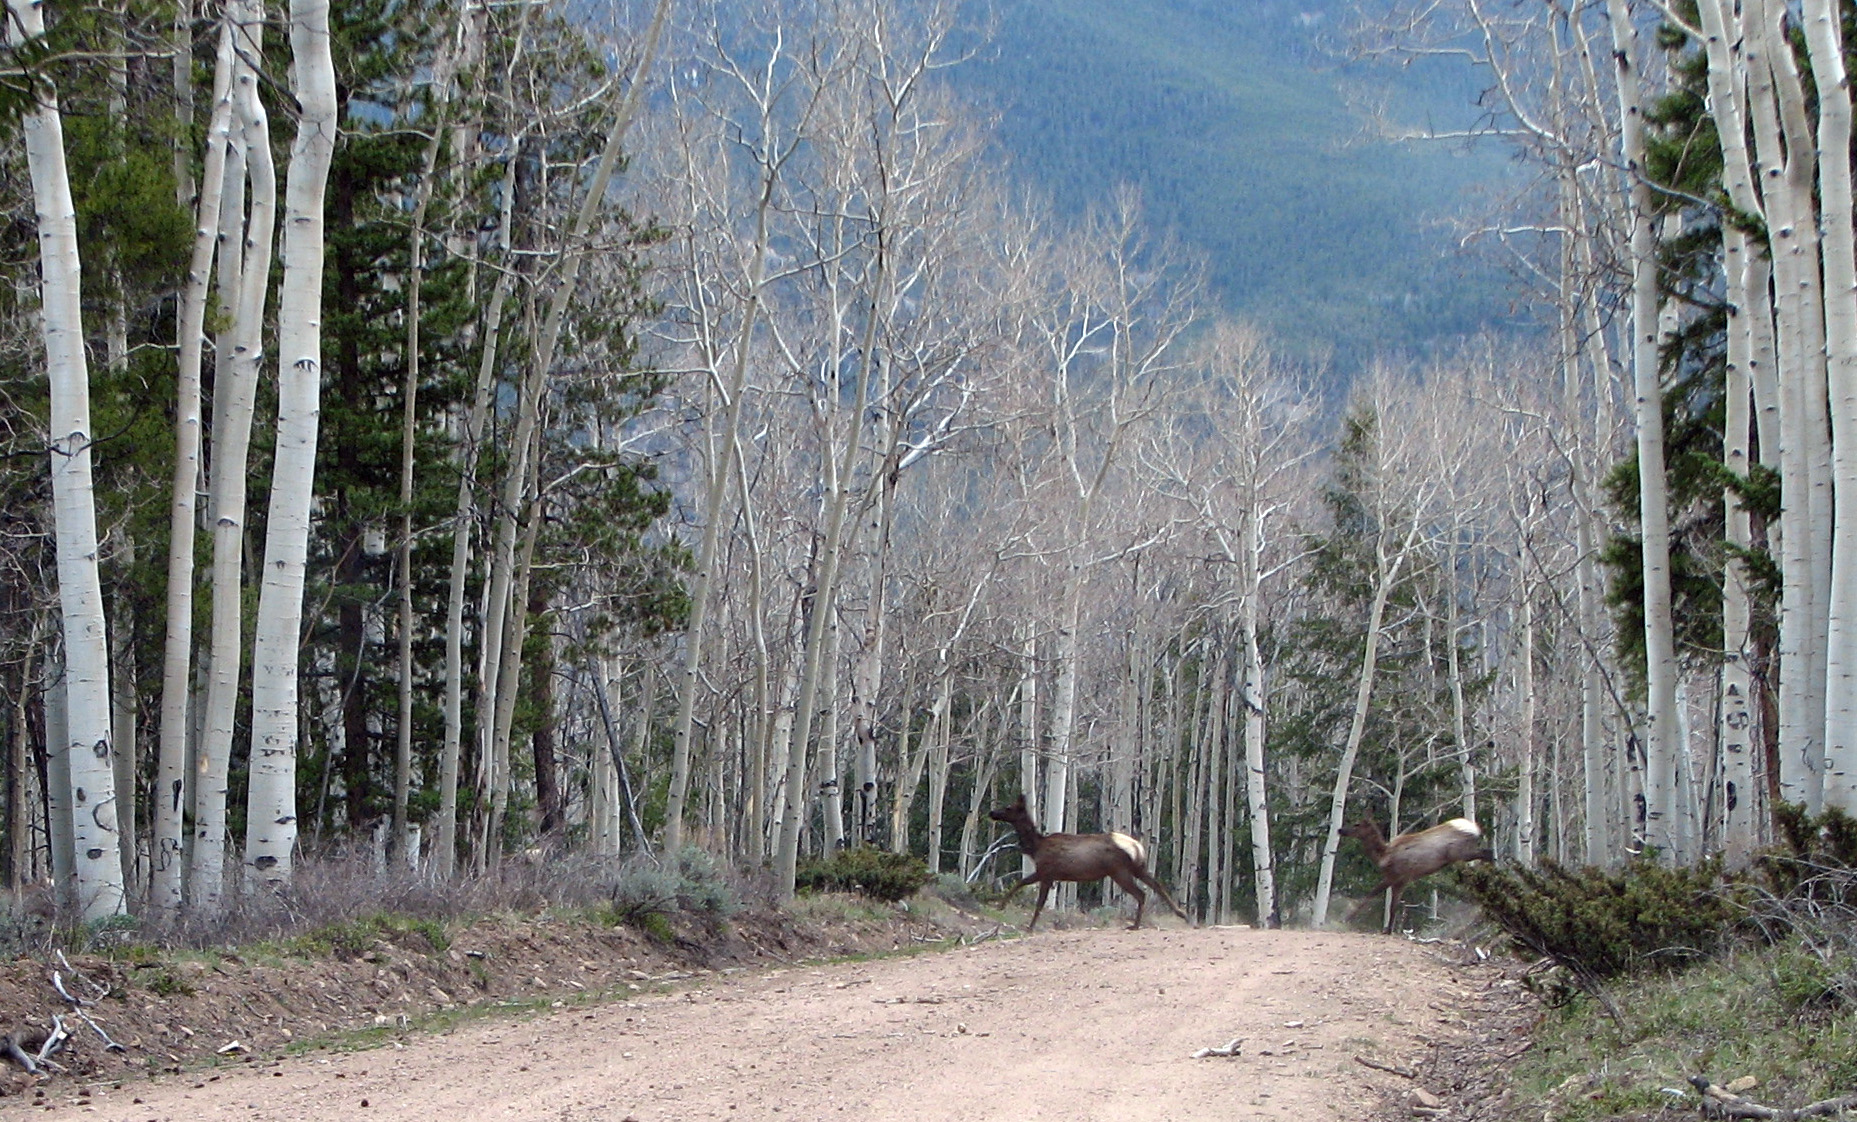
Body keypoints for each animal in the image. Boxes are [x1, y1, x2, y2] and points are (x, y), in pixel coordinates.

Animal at [987, 795, 1188, 932]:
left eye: (1008, 807)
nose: (991, 812)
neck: (1035, 847)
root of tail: (1136, 846)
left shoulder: (1047, 873)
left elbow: (1038, 902)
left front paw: (1029, 927)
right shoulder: (1045, 873)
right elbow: (1021, 883)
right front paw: (1000, 906)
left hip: (1119, 871)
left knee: (1141, 893)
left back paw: (1136, 925)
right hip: (1138, 867)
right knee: (1156, 885)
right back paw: (1181, 913)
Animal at [1337, 821, 1493, 932]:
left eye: (1357, 825)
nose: (1340, 830)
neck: (1383, 857)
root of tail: (1475, 829)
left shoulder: (1395, 877)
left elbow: (1369, 896)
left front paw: (1345, 919)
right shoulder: (1401, 881)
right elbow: (1393, 906)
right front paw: (1388, 930)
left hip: (1461, 853)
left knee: (1487, 852)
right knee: (1488, 853)